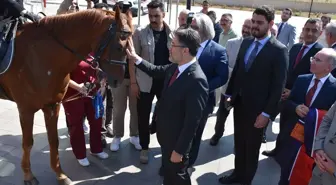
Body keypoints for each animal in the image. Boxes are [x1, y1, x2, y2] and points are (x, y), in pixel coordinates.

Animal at [0, 7, 133, 185]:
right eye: (119, 47)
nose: (118, 80)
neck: (41, 54)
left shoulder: (52, 106)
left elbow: (53, 140)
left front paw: (60, 174)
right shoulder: (25, 109)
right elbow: (27, 143)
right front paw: (28, 176)